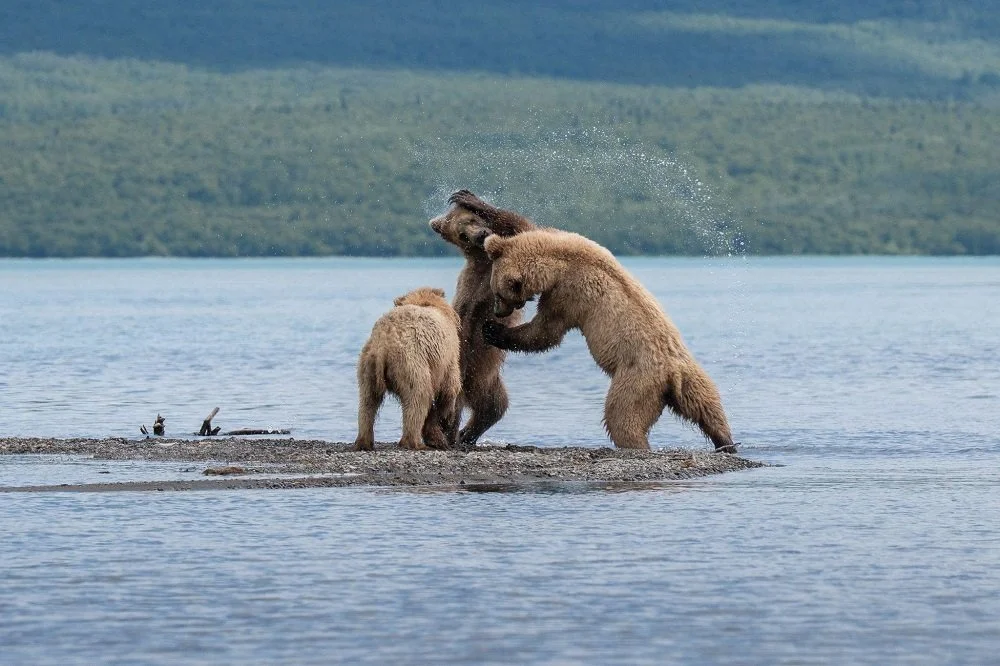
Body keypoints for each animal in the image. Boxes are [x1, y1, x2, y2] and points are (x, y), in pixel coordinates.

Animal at [353, 287, 462, 451]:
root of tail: (384, 342)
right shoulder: (448, 356)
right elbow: (450, 387)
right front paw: (444, 423)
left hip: (367, 364)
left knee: (368, 401)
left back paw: (364, 442)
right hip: (411, 362)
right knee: (418, 397)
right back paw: (415, 443)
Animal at [428, 190, 536, 447]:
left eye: (472, 220)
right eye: (462, 235)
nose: (481, 235)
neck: (484, 258)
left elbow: (523, 226)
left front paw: (467, 197)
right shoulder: (470, 288)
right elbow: (464, 318)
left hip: (487, 380)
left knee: (494, 406)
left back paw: (467, 433)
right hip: (462, 379)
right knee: (457, 407)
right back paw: (453, 433)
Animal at [478, 229, 738, 453]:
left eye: (498, 294)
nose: (497, 312)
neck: (556, 263)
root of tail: (671, 373)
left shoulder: (568, 293)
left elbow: (545, 331)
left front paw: (492, 330)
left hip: (637, 379)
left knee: (622, 416)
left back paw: (636, 445)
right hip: (691, 378)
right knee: (708, 409)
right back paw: (726, 442)